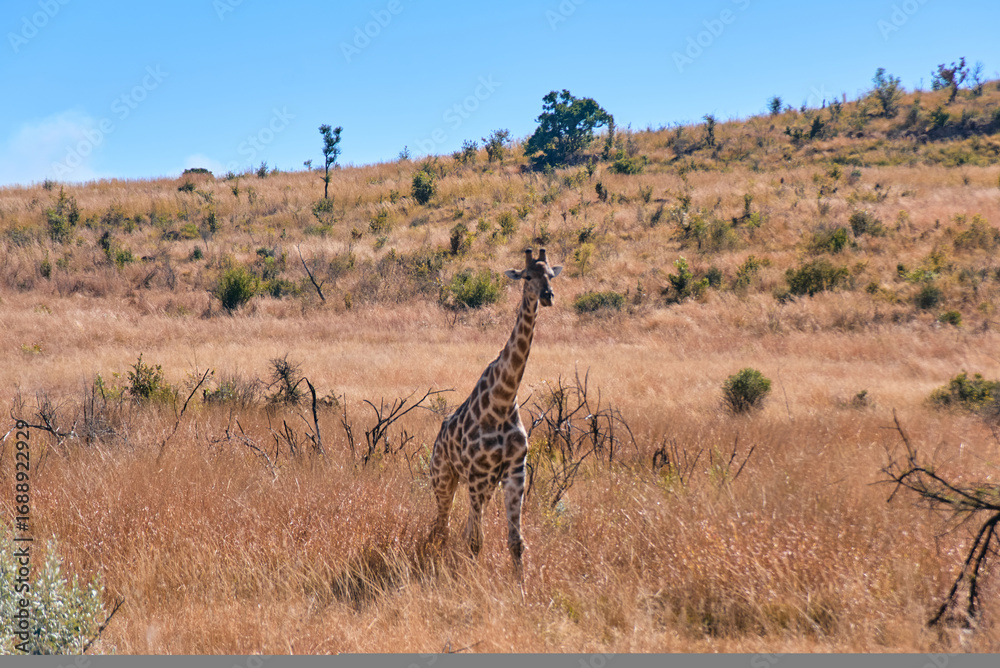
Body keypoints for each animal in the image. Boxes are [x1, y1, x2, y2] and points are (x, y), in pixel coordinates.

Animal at [428, 248, 562, 575]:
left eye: (550, 275)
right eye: (527, 277)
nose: (548, 296)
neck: (503, 398)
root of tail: (438, 439)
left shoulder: (514, 472)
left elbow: (516, 542)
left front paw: (520, 585)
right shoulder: (478, 475)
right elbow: (476, 541)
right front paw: (470, 581)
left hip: (483, 485)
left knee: (458, 527)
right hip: (444, 477)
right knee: (442, 526)